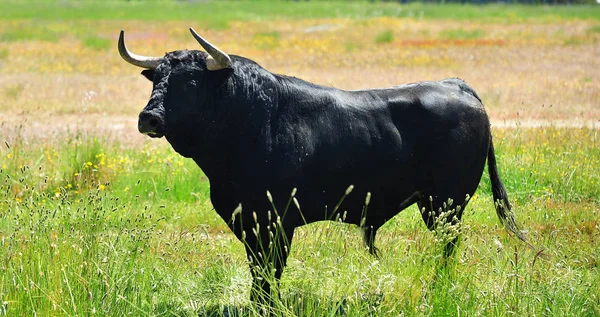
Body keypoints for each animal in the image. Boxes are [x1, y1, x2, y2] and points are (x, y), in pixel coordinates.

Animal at [117, 28, 524, 302]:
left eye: (190, 81)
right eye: (156, 79)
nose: (149, 118)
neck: (246, 120)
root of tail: (456, 85)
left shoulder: (275, 222)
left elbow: (269, 273)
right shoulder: (249, 222)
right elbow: (259, 272)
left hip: (446, 204)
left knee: (448, 245)